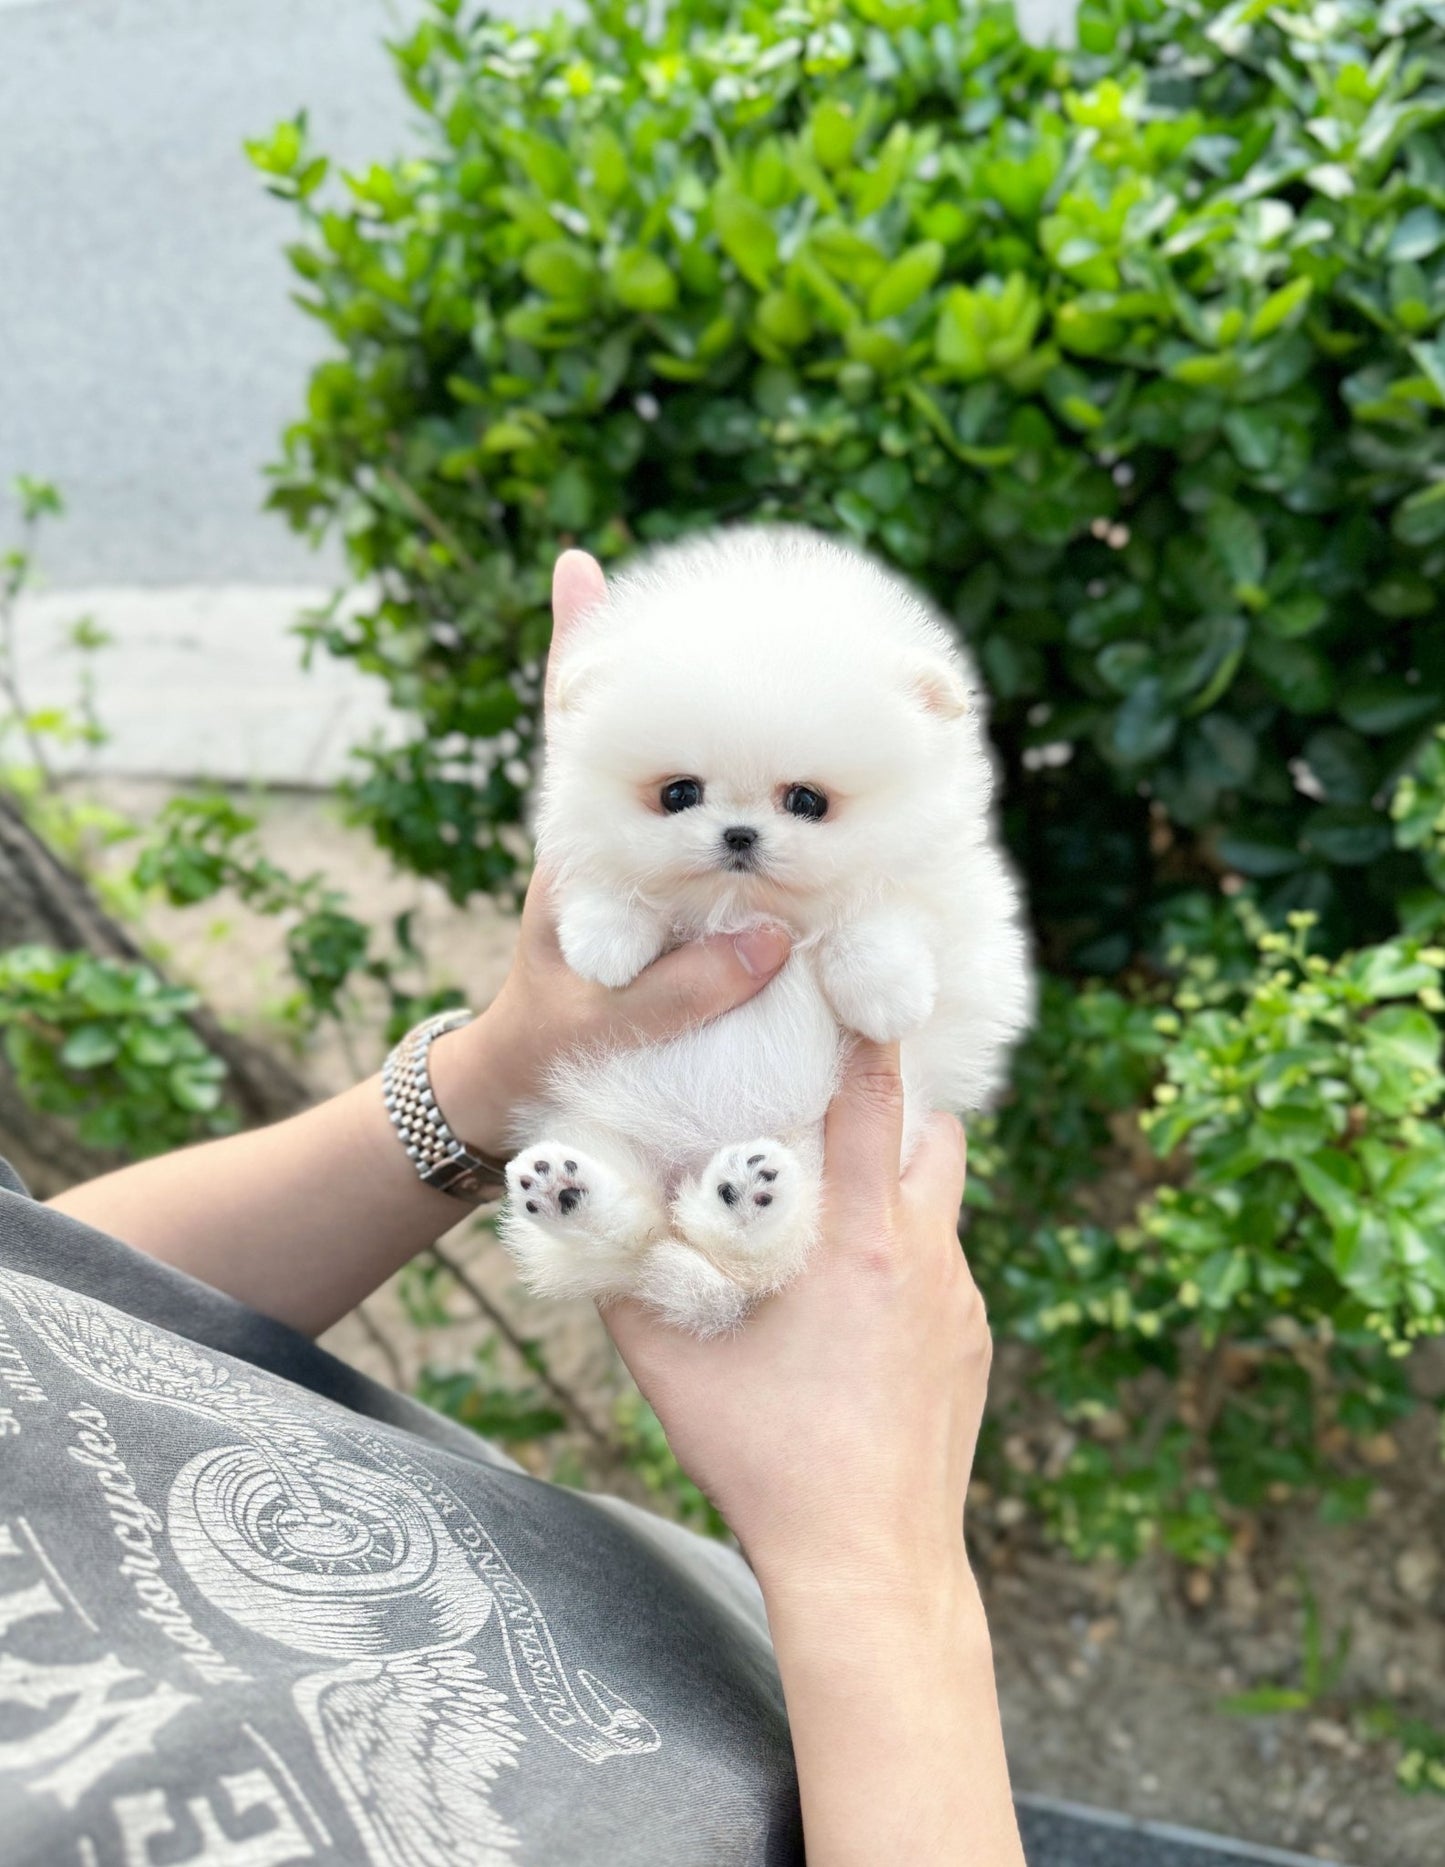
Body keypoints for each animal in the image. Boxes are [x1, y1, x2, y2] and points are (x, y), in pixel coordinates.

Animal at [504, 530, 1038, 1344]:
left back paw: (741, 1197)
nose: (738, 833)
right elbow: (611, 879)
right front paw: (607, 938)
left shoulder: (958, 901)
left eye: (807, 801)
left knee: (758, 1251)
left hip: (814, 1162)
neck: (747, 911)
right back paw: (571, 1191)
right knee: (636, 1235)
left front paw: (884, 990)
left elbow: (885, 910)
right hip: (607, 1129)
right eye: (679, 793)